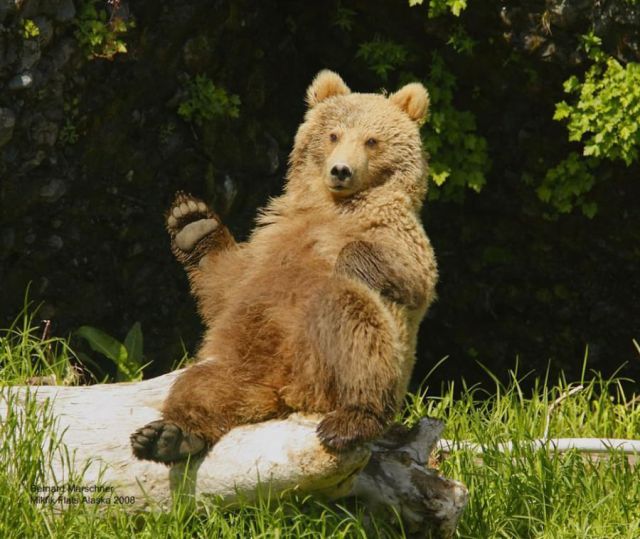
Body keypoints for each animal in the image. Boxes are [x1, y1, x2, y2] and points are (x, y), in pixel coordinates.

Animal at [132, 69, 438, 462]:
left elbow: (413, 275)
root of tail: (284, 391)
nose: (341, 170)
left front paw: (347, 260)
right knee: (202, 385)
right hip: (244, 361)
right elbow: (226, 287)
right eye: (333, 134)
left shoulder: (398, 234)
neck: (332, 205)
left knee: (353, 323)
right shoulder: (269, 241)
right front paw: (192, 220)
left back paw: (351, 420)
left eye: (372, 140)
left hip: (328, 364)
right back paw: (168, 435)